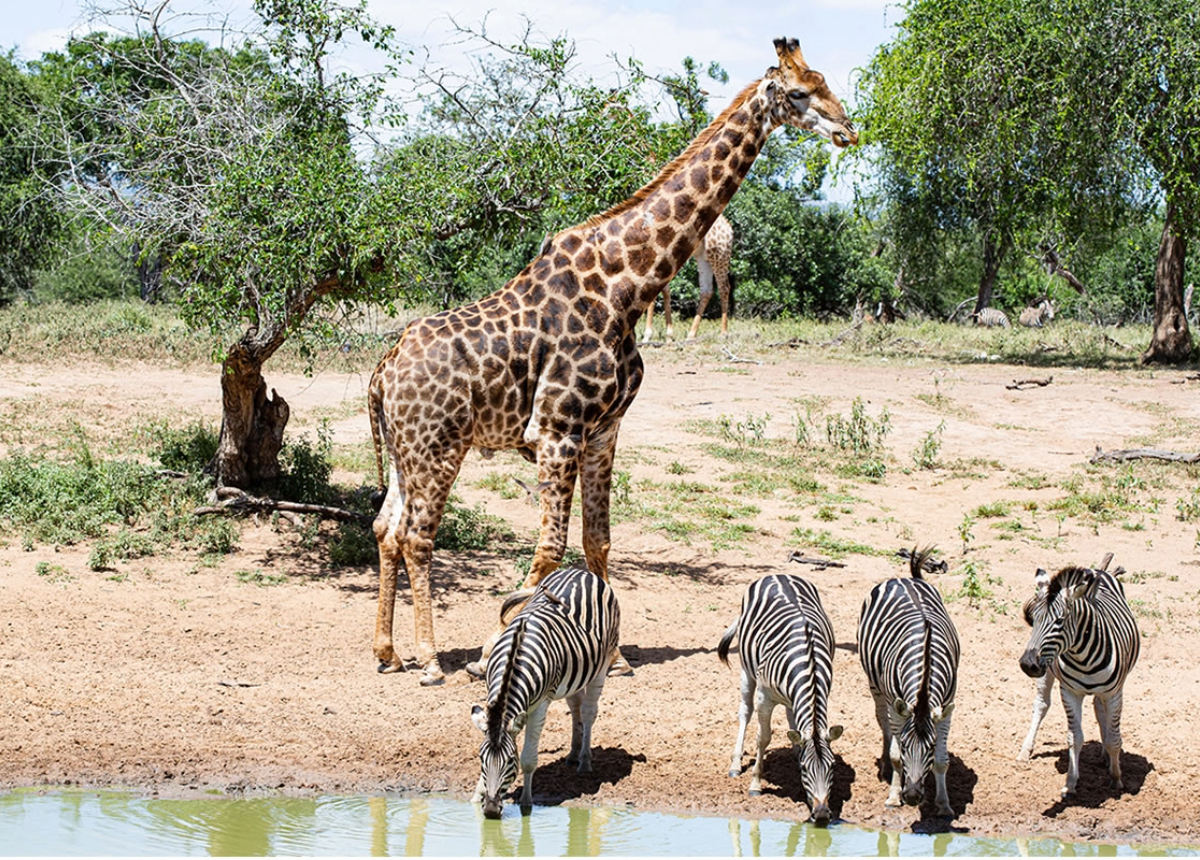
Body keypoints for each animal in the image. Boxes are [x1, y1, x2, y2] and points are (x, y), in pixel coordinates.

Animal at [470, 567, 620, 819]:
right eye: (481, 758)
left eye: (510, 761)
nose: (490, 810)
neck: (515, 659)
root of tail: (581, 570)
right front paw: (475, 798)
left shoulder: (540, 706)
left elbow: (529, 759)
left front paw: (526, 803)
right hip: (574, 672)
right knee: (576, 706)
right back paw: (573, 754)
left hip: (604, 660)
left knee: (589, 711)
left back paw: (584, 761)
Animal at [641, 213, 735, 341]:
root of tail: (729, 228)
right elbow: (665, 291)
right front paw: (669, 336)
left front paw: (648, 336)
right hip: (703, 258)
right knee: (707, 291)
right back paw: (691, 335)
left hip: (719, 255)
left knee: (724, 287)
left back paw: (723, 333)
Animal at [718, 574, 842, 826]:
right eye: (805, 769)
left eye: (833, 766)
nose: (822, 815)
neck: (809, 662)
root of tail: (777, 575)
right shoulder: (764, 697)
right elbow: (763, 738)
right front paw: (755, 784)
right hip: (746, 670)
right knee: (745, 711)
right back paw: (736, 764)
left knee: (792, 715)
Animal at [857, 547, 961, 817]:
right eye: (905, 745)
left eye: (931, 746)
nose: (913, 796)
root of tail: (905, 579)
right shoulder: (898, 706)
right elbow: (895, 755)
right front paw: (894, 796)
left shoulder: (945, 708)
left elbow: (942, 761)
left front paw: (943, 804)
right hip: (876, 686)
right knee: (882, 720)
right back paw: (885, 767)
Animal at [1018, 564, 1139, 797]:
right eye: (1034, 619)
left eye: (1059, 621)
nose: (1028, 664)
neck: (1084, 659)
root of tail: (1097, 569)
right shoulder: (1070, 692)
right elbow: (1075, 738)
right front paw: (1071, 782)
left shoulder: (1114, 693)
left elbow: (1114, 739)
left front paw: (1116, 778)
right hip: (1046, 671)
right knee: (1041, 705)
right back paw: (1025, 750)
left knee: (1100, 710)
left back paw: (1105, 756)